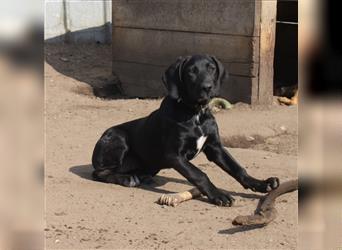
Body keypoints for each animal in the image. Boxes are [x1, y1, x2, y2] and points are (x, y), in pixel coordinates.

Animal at [92, 55, 280, 206]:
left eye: (211, 69)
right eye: (191, 71)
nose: (207, 87)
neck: (195, 113)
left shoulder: (215, 148)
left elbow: (237, 168)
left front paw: (261, 184)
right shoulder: (174, 155)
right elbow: (200, 174)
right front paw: (218, 194)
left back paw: (142, 176)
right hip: (117, 136)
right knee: (100, 172)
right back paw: (126, 178)